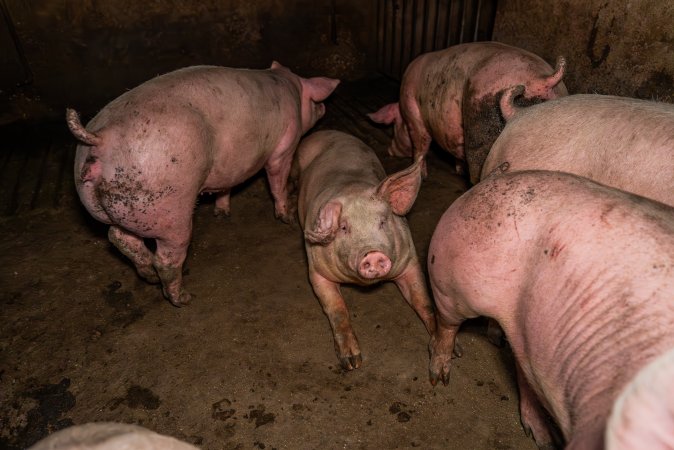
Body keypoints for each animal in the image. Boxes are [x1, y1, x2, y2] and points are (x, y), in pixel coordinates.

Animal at [66, 62, 339, 307]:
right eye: (314, 100)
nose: (324, 106)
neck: (289, 87)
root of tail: (101, 138)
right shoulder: (284, 146)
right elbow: (276, 180)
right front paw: (287, 217)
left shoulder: (231, 163)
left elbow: (226, 186)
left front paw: (222, 213)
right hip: (170, 209)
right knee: (165, 258)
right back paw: (183, 298)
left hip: (119, 207)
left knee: (119, 237)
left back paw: (149, 276)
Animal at [296, 130, 435, 370]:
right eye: (344, 228)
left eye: (383, 221)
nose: (372, 253)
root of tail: (324, 132)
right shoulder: (316, 271)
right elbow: (337, 309)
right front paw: (352, 362)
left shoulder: (409, 260)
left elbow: (423, 300)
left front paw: (450, 351)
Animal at [368, 41, 567, 182]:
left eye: (395, 125)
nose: (390, 150)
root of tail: (545, 80)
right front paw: (458, 169)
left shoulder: (413, 114)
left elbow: (421, 146)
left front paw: (422, 176)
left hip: (481, 117)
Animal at [427, 170, 674, 449]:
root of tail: (487, 180)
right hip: (450, 273)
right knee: (448, 322)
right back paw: (439, 378)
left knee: (522, 365)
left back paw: (543, 438)